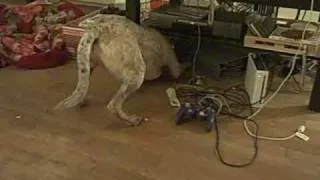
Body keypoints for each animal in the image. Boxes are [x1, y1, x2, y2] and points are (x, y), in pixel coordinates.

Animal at [55, 14, 185, 125]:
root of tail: (97, 29)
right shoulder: (173, 64)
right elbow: (177, 70)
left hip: (87, 66)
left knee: (82, 87)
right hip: (136, 74)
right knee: (114, 105)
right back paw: (132, 120)